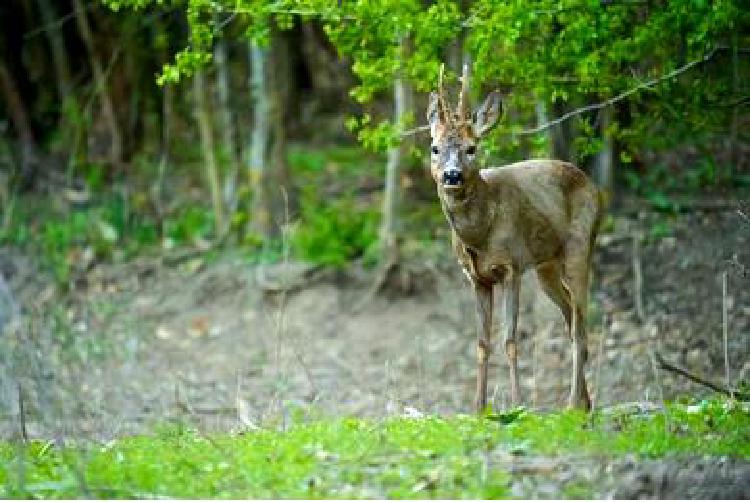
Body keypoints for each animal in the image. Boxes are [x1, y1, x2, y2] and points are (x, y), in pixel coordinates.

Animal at [428, 65, 604, 412]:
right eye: (435, 148)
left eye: (472, 148)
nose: (452, 175)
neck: (481, 234)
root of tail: (594, 186)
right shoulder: (476, 278)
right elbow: (482, 342)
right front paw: (478, 409)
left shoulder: (512, 267)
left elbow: (510, 340)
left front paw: (518, 405)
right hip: (547, 268)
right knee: (572, 321)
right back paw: (585, 404)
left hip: (580, 249)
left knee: (580, 326)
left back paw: (572, 405)